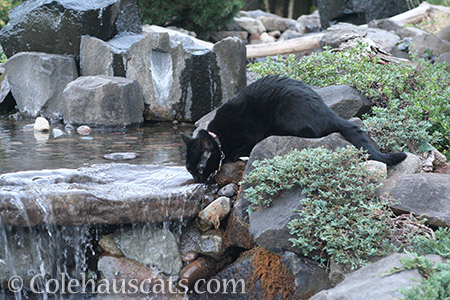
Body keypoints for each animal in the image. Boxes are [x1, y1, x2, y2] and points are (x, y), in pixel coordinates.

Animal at [181, 75, 406, 183]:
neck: (218, 135)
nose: (197, 180)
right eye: (189, 169)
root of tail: (327, 112)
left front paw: (230, 157)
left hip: (285, 114)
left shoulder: (249, 135)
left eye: (199, 168)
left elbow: (237, 150)